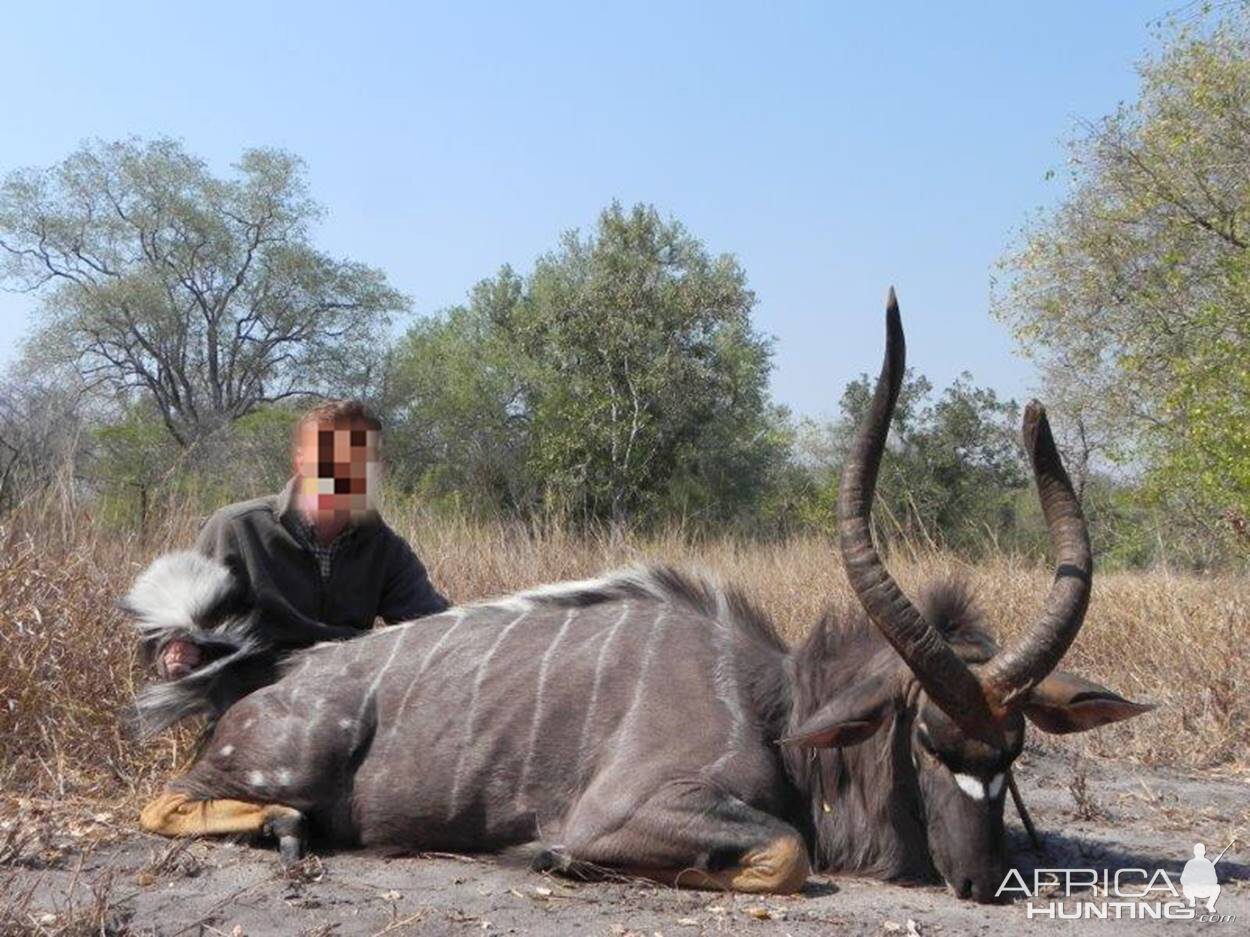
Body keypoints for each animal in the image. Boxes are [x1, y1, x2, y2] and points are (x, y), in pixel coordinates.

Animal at [126, 292, 1150, 904]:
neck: (777, 706)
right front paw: (555, 856)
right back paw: (285, 828)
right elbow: (787, 852)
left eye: (1012, 751)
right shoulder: (630, 809)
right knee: (164, 801)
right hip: (281, 763)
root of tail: (270, 674)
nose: (981, 880)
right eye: (929, 740)